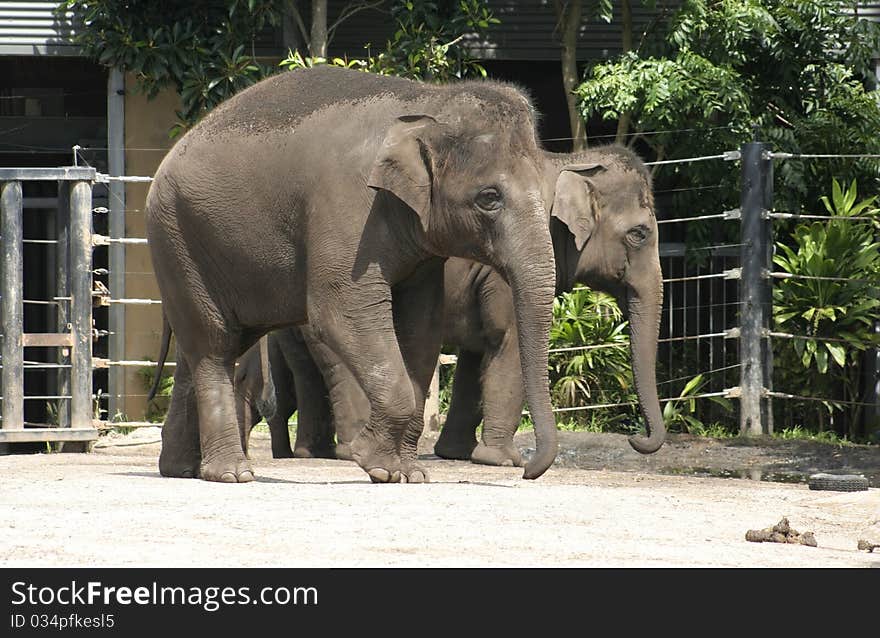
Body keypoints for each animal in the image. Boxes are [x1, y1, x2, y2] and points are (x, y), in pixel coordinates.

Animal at [144, 66, 556, 484]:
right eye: (489, 197)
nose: (526, 469)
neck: (428, 101)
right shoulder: (348, 209)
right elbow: (343, 312)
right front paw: (378, 466)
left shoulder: (421, 247)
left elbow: (422, 324)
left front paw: (411, 474)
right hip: (177, 239)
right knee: (214, 346)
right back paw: (232, 474)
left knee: (200, 351)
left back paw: (180, 470)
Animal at [237, 145, 664, 470]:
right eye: (639, 233)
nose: (636, 441)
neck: (567, 160)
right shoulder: (503, 270)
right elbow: (506, 343)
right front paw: (502, 461)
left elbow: (477, 358)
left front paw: (456, 454)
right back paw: (348, 450)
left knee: (307, 372)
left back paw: (313, 453)